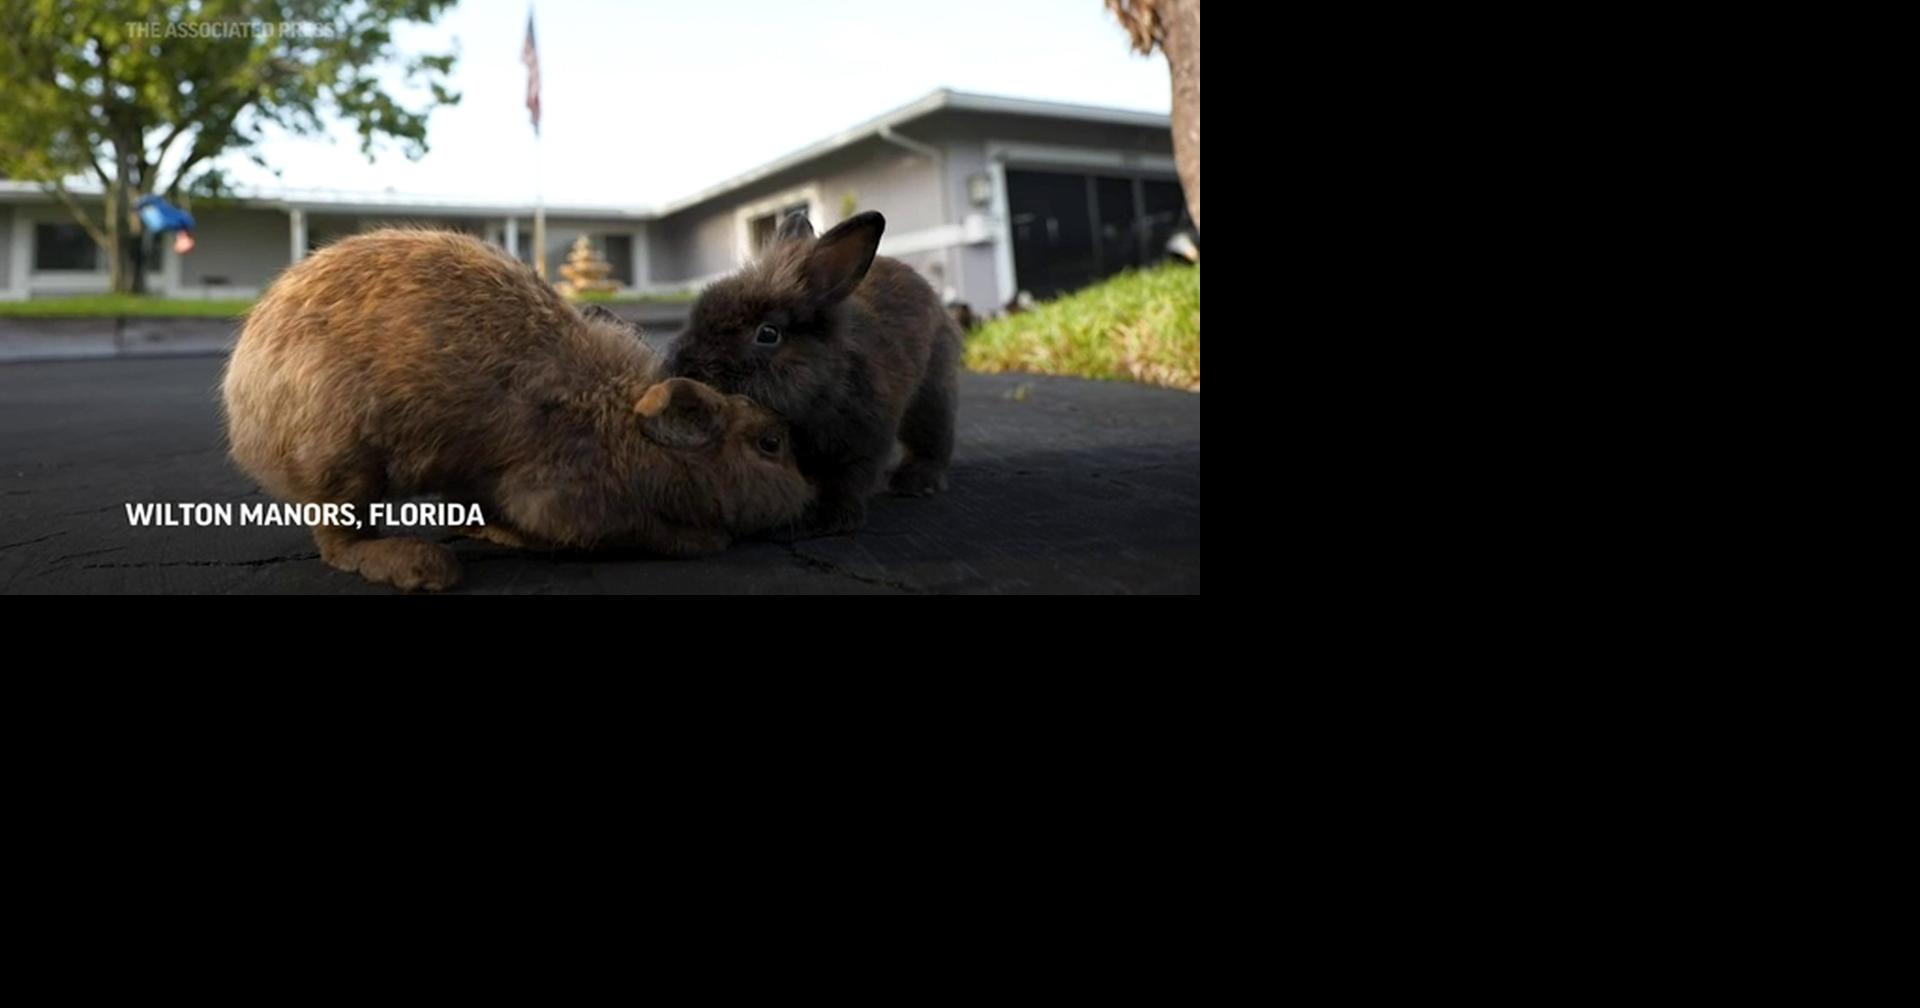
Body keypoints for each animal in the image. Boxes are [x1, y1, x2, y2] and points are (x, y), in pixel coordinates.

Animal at [220, 228, 812, 591]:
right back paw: (421, 564)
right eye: (770, 443)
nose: (810, 496)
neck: (626, 428)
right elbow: (634, 531)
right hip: (344, 458)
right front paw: (703, 540)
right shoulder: (564, 499)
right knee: (338, 540)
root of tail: (243, 409)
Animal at [664, 210, 961, 535]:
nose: (682, 366)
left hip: (930, 394)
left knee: (933, 438)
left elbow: (847, 481)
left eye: (768, 334)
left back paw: (917, 481)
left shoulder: (863, 443)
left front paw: (826, 518)